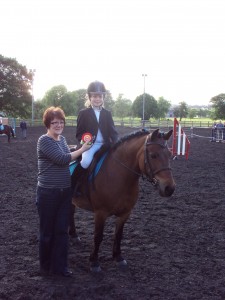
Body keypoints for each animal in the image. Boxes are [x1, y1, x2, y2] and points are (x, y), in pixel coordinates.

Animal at [69, 128, 175, 272]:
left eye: (170, 154)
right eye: (153, 155)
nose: (169, 188)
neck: (119, 176)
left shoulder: (125, 213)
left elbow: (118, 235)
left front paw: (118, 257)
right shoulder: (100, 213)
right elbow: (98, 236)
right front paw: (94, 262)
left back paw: (73, 235)